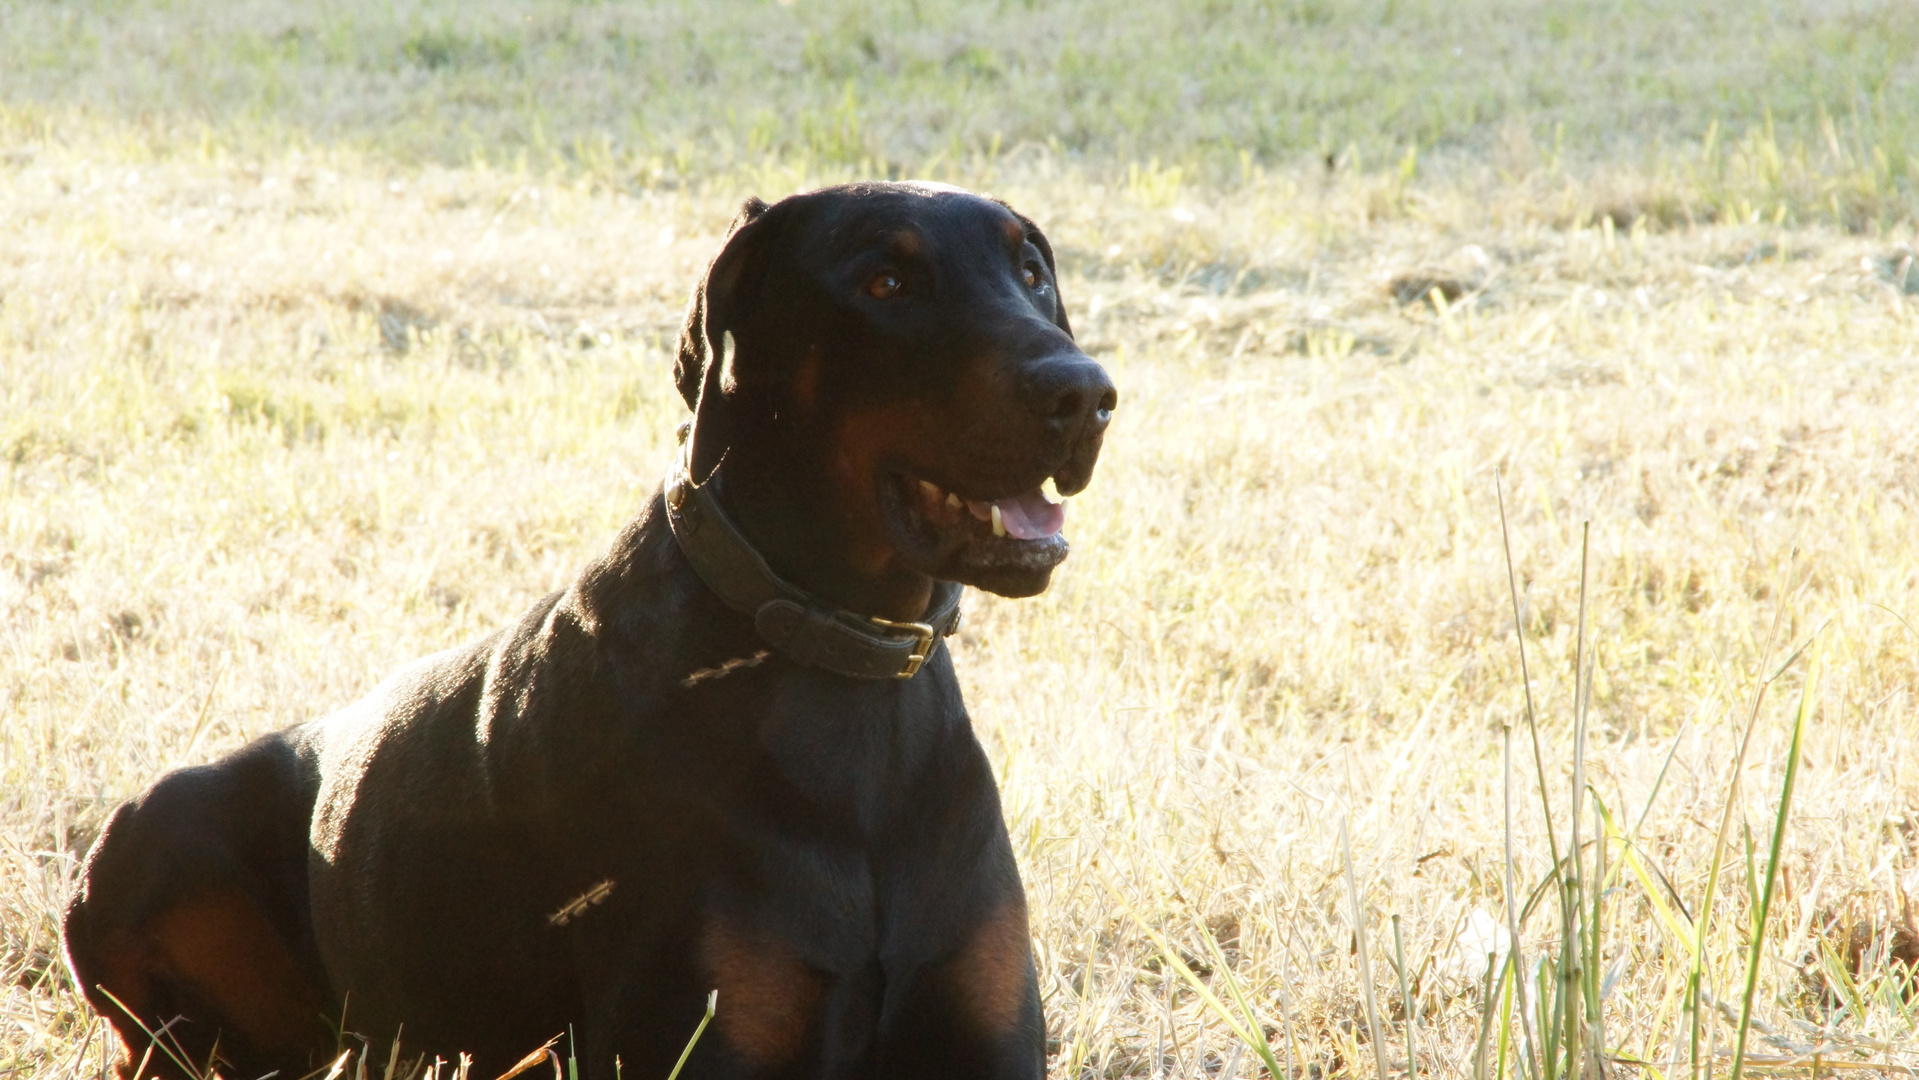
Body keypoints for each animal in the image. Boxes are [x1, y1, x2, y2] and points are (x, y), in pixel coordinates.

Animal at [59, 181, 1120, 1074]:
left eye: (1031, 272)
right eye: (886, 280)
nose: (1086, 394)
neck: (835, 663)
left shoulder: (983, 1035)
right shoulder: (699, 1042)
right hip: (162, 832)